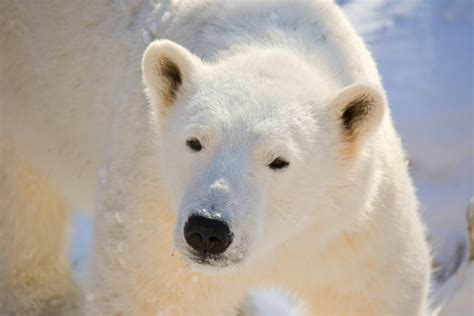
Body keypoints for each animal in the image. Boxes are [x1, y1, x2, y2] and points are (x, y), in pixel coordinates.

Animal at [0, 0, 432, 316]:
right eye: (195, 141)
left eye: (279, 160)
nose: (208, 231)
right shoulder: (154, 207)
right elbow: (154, 296)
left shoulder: (350, 229)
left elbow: (371, 292)